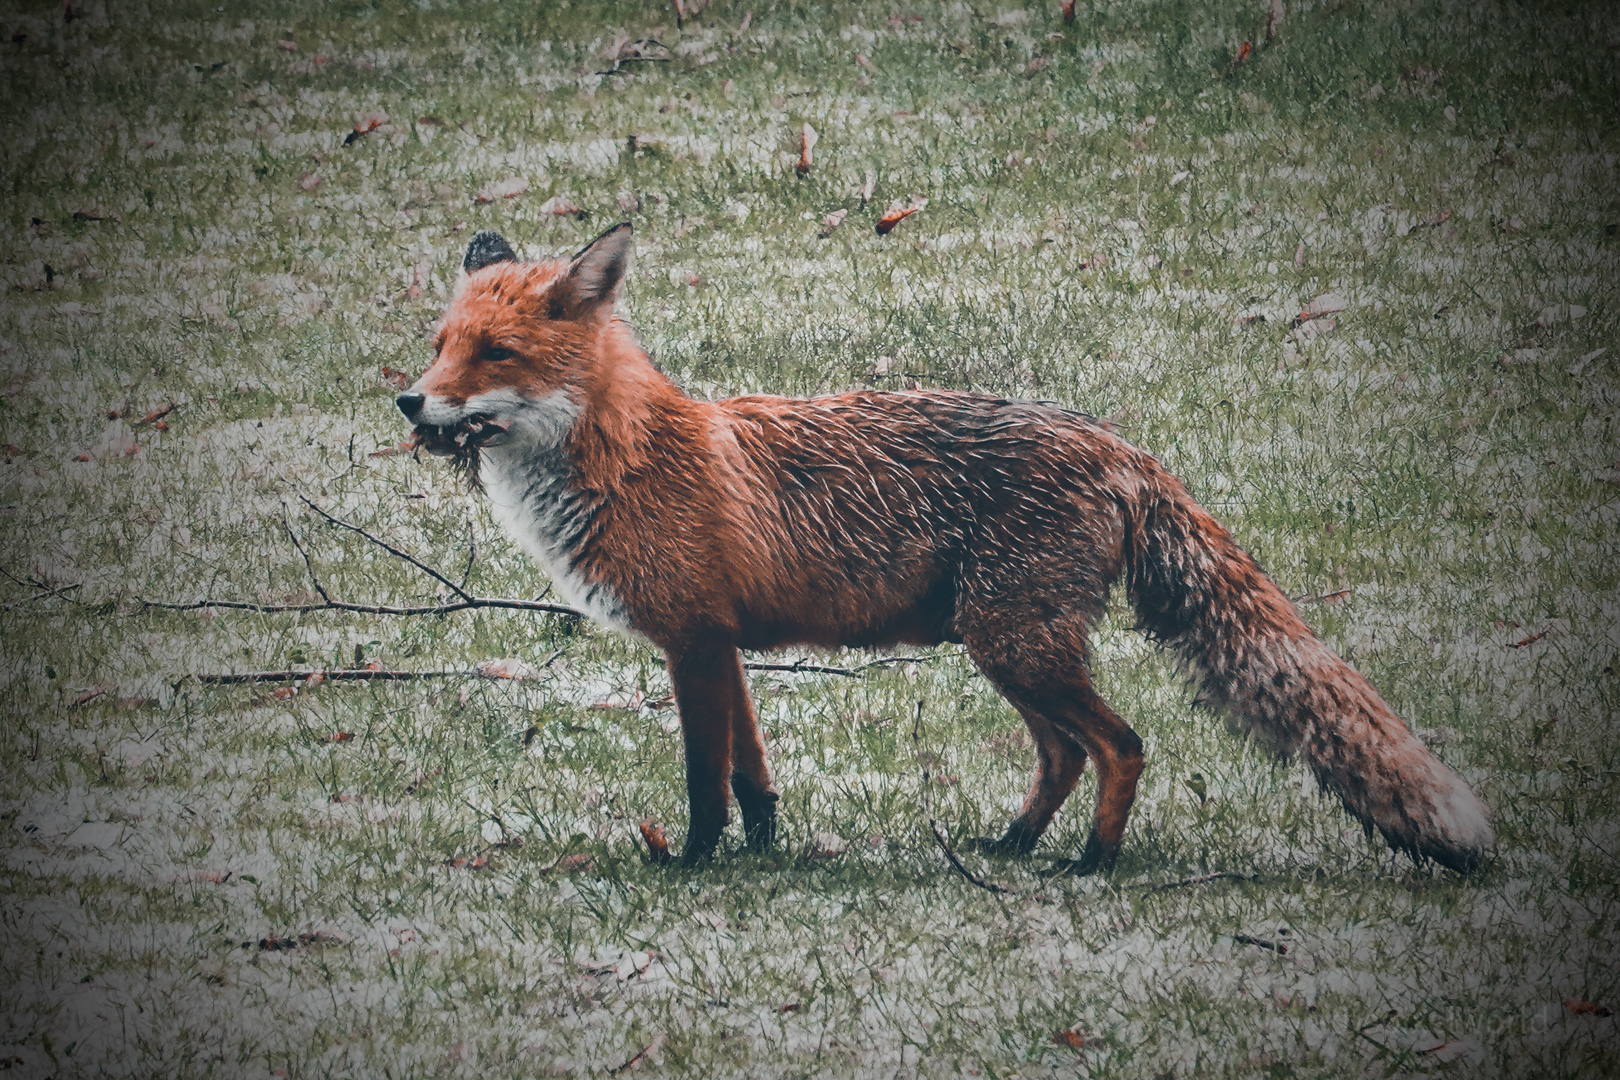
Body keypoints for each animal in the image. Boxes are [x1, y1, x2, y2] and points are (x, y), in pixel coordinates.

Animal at [398, 223, 1496, 874]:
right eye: (439, 346)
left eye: (494, 355)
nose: (409, 403)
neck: (628, 459)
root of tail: (1117, 442)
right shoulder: (725, 646)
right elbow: (754, 776)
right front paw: (762, 852)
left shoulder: (694, 643)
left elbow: (707, 781)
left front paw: (695, 864)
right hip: (1010, 647)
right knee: (1065, 752)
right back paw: (1009, 844)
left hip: (1014, 644)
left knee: (1122, 744)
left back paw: (1092, 864)